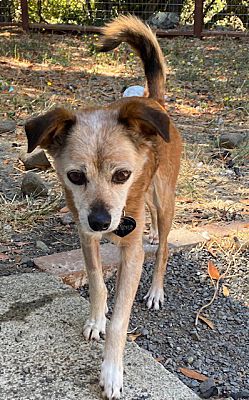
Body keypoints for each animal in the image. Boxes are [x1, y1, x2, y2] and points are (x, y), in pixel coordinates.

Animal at [24, 15, 181, 400]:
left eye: (123, 174)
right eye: (75, 176)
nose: (100, 221)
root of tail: (155, 102)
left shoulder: (131, 254)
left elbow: (121, 320)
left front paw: (112, 370)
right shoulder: (85, 238)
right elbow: (97, 282)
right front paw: (96, 319)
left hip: (164, 198)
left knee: (164, 248)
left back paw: (156, 289)